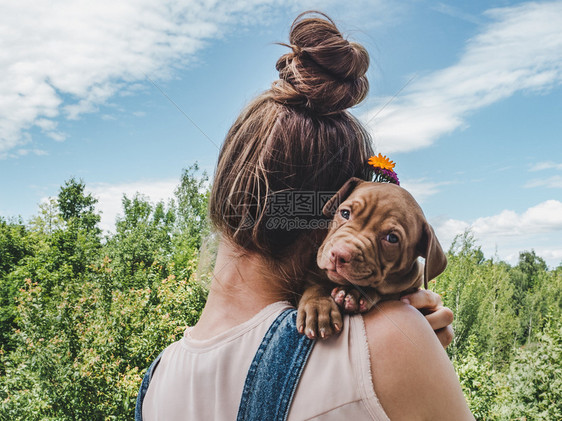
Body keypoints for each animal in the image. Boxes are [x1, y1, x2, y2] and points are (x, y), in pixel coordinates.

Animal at [296, 176, 444, 338]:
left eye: (392, 238)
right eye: (345, 213)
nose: (339, 254)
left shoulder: (411, 284)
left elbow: (387, 292)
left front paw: (354, 293)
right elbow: (315, 285)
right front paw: (318, 306)